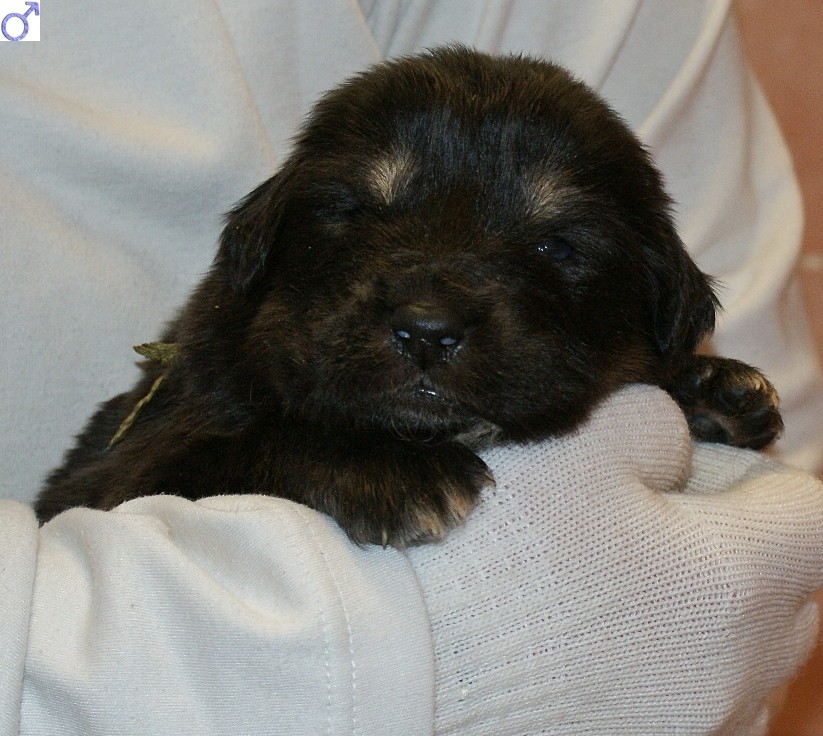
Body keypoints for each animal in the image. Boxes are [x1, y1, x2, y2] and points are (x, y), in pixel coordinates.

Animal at [35, 47, 783, 546]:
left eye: (558, 246)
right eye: (355, 209)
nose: (426, 329)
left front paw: (714, 386)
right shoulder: (113, 476)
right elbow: (233, 445)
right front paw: (391, 471)